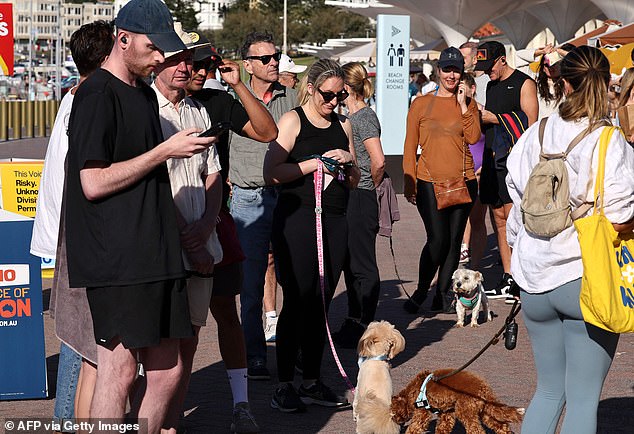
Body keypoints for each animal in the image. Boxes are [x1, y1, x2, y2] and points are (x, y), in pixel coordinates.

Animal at [390, 370, 524, 434]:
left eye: (393, 413)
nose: (395, 421)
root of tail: (484, 388)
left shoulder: (422, 411)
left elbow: (415, 427)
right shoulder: (446, 413)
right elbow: (443, 427)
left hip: (465, 409)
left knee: (476, 430)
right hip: (485, 411)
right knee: (501, 426)